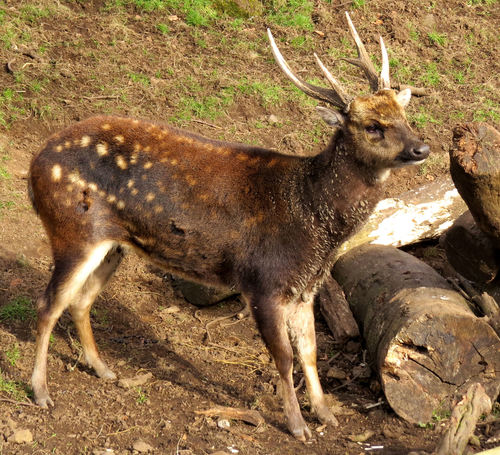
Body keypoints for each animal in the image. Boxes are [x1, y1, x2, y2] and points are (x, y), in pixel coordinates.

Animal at [29, 13, 428, 442]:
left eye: (404, 115)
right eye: (373, 126)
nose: (422, 148)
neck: (314, 221)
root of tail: (34, 166)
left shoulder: (305, 289)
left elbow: (310, 351)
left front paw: (325, 413)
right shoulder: (263, 282)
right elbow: (284, 358)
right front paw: (297, 426)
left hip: (112, 245)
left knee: (81, 300)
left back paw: (104, 370)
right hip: (72, 231)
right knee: (49, 303)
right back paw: (41, 392)